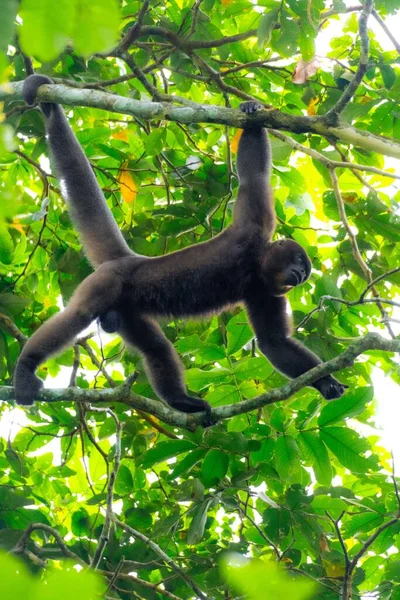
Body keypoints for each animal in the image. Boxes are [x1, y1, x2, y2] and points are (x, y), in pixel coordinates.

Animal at [13, 74, 346, 412]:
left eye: (303, 274)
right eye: (299, 262)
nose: (299, 276)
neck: (255, 265)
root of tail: (128, 260)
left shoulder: (265, 290)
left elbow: (273, 342)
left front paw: (325, 382)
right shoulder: (254, 229)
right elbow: (254, 177)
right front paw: (250, 112)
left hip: (127, 310)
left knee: (156, 349)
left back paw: (180, 401)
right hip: (106, 283)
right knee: (79, 315)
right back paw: (25, 367)